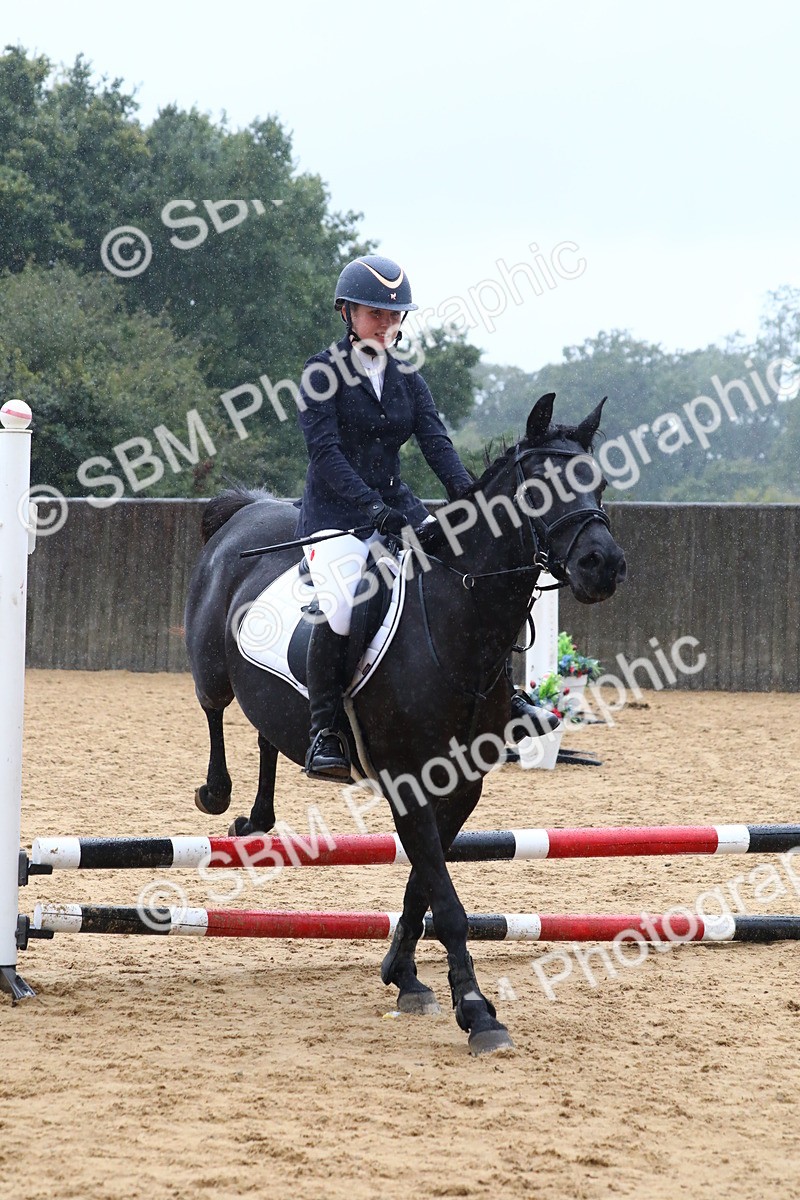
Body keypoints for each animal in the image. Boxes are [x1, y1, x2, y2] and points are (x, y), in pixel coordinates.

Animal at [184, 392, 627, 1054]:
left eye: (597, 481)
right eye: (539, 487)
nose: (605, 565)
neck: (458, 621)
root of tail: (250, 510)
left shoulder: (463, 784)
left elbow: (424, 884)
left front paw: (405, 975)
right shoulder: (408, 780)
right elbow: (445, 898)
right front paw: (478, 1012)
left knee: (266, 732)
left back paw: (258, 817)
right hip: (211, 662)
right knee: (214, 709)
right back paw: (218, 794)